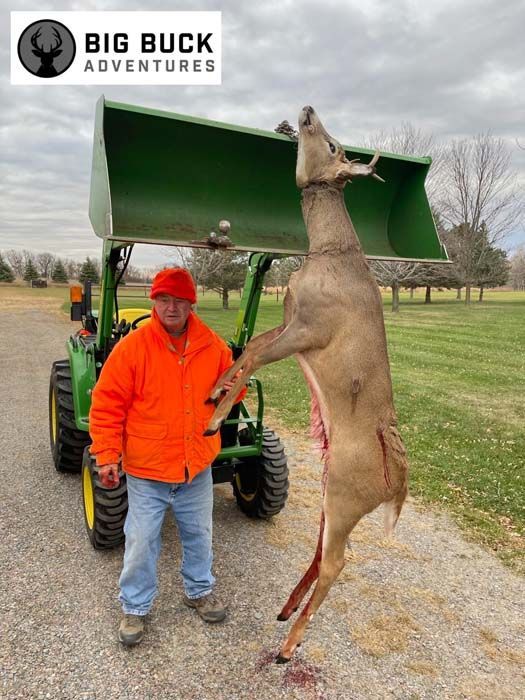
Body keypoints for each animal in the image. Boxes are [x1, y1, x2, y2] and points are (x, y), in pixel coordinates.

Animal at [204, 105, 409, 663]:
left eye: (335, 145)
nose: (306, 111)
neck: (328, 254)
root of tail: (397, 486)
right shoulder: (289, 320)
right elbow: (248, 348)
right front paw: (215, 393)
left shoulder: (310, 329)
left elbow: (254, 354)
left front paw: (213, 415)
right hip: (331, 489)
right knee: (323, 551)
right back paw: (285, 610)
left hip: (344, 493)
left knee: (338, 560)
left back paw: (287, 646)